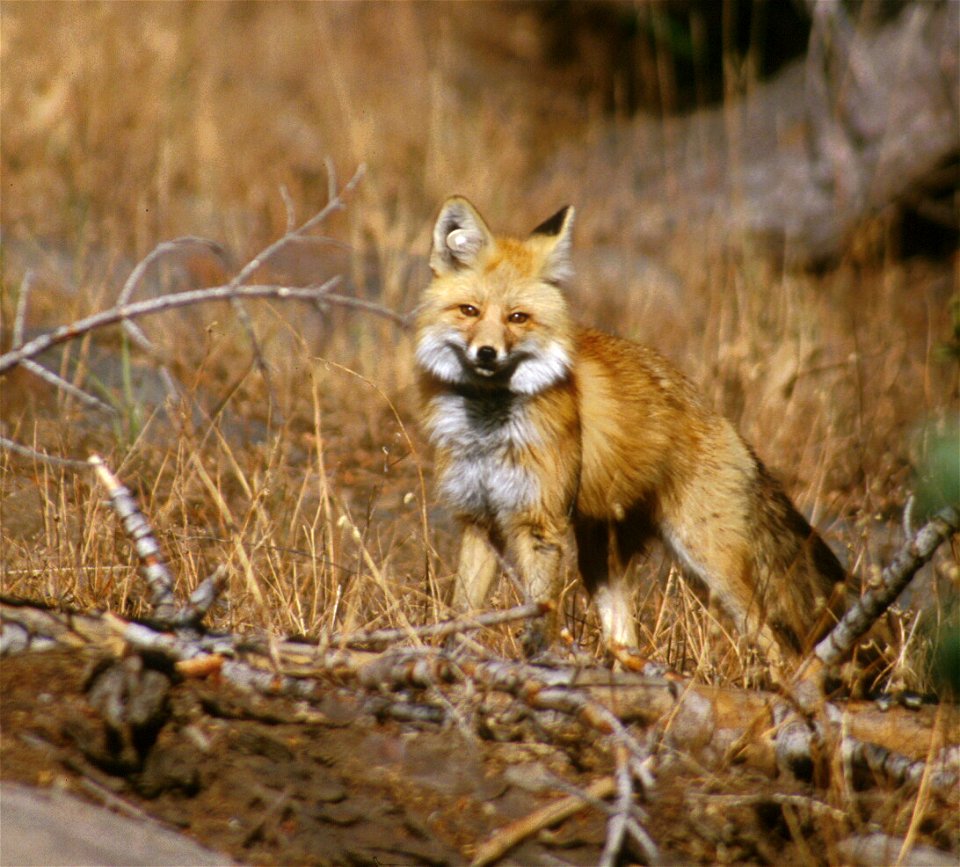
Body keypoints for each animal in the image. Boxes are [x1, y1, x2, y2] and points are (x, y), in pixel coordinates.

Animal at [414, 200, 848, 668]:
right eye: (469, 311)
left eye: (518, 318)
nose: (487, 354)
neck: (487, 428)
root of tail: (724, 421)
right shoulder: (478, 519)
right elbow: (461, 613)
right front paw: (452, 660)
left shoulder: (540, 524)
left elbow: (539, 616)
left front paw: (537, 664)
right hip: (602, 560)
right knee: (626, 637)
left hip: (711, 566)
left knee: (779, 645)